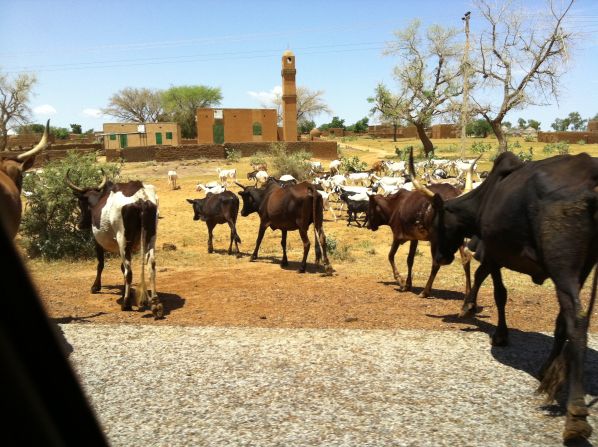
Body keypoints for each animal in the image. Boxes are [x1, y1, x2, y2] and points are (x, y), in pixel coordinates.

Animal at [66, 168, 162, 318]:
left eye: (80, 204)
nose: (80, 224)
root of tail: (141, 198)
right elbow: (121, 268)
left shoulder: (97, 241)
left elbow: (101, 264)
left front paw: (95, 286)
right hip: (151, 237)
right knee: (151, 266)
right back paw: (156, 303)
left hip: (123, 239)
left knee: (129, 271)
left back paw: (126, 304)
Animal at [414, 150, 598, 440]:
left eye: (435, 223)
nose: (440, 258)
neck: (486, 197)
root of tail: (592, 177)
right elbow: (482, 277)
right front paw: (468, 306)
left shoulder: (493, 251)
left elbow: (499, 293)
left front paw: (499, 334)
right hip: (583, 267)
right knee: (564, 320)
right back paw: (547, 370)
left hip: (563, 267)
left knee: (576, 321)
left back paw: (576, 414)